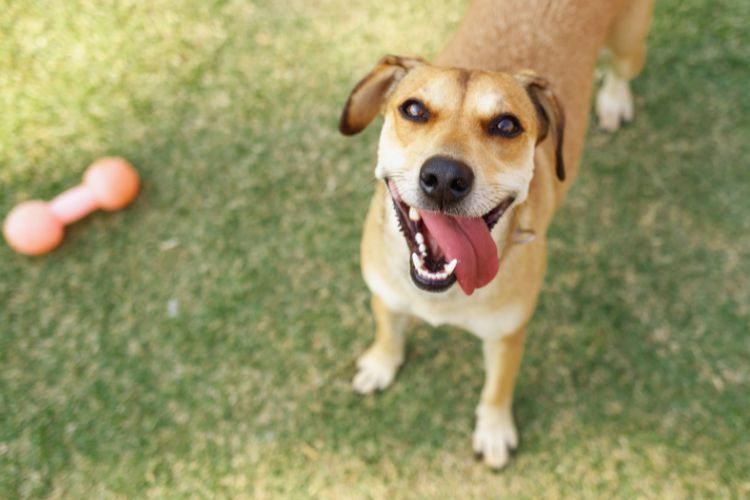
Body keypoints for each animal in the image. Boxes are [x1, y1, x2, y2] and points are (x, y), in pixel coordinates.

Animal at [340, 0, 652, 468]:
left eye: (507, 125)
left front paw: (494, 431)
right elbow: (388, 330)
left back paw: (614, 100)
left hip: (629, 44)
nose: (444, 177)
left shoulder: (507, 335)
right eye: (413, 110)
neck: (443, 294)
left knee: (621, 69)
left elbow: (497, 387)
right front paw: (380, 364)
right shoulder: (385, 293)